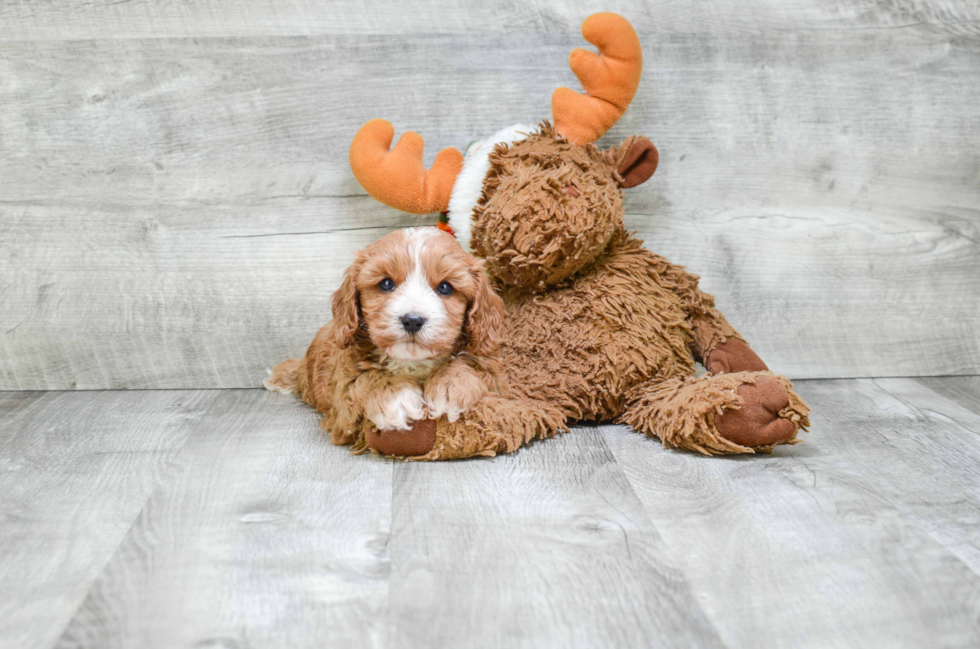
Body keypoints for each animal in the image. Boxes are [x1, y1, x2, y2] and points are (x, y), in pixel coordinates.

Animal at [264, 227, 502, 450]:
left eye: (445, 287)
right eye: (386, 284)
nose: (412, 320)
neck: (412, 362)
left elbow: (472, 364)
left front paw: (450, 385)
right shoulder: (342, 402)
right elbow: (362, 378)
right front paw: (397, 396)